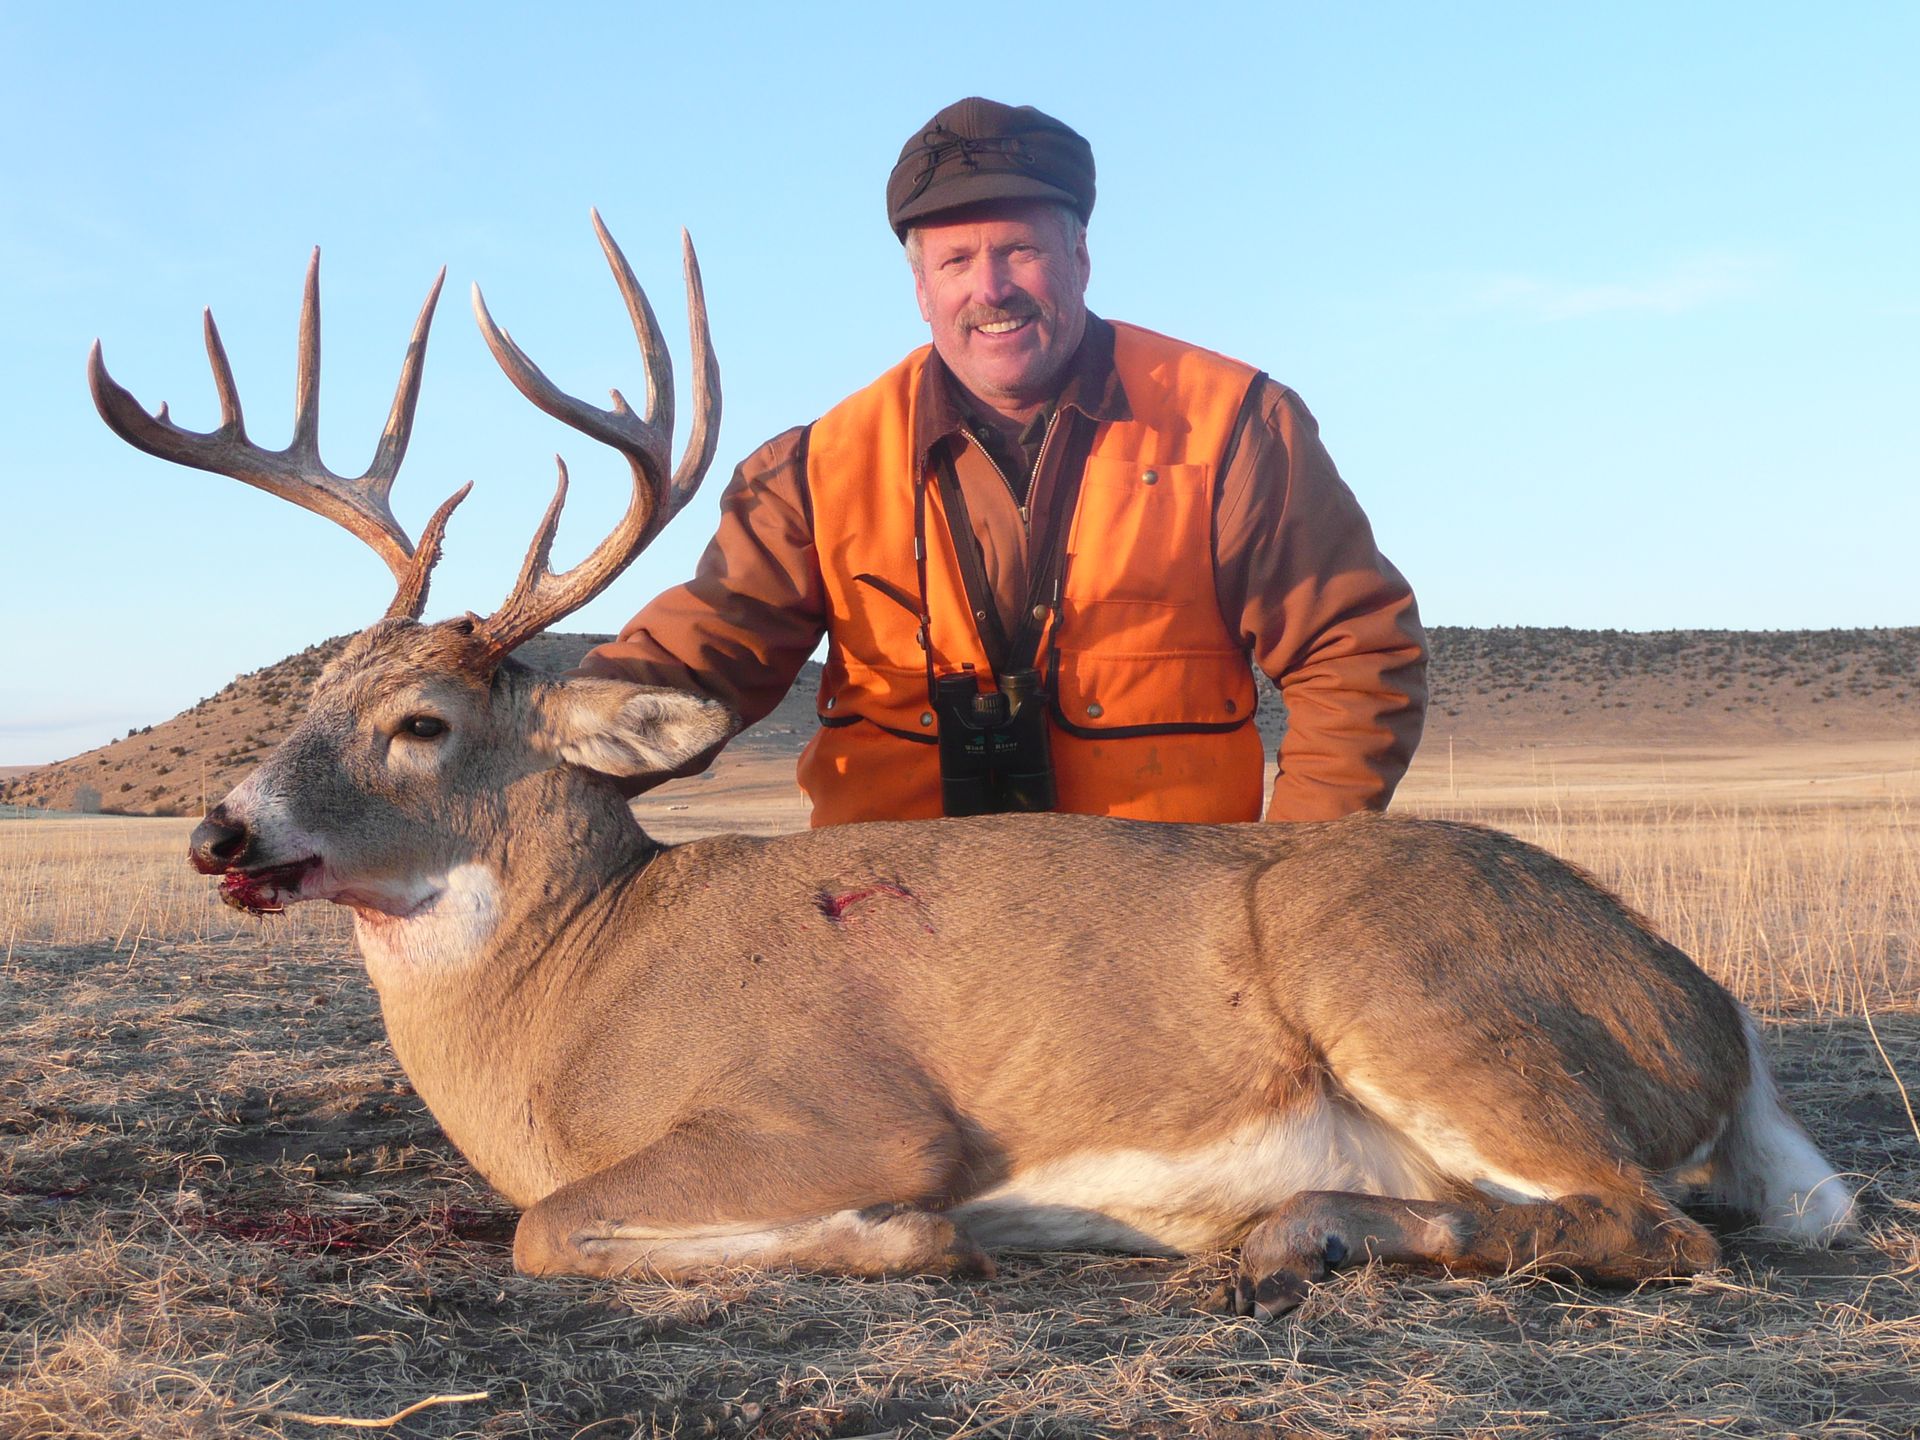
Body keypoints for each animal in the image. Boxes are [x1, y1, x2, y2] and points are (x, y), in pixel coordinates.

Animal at [88, 214, 1856, 1320]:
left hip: (1422, 997)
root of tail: (1715, 1015)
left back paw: (1293, 1239)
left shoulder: (840, 1112)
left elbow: (552, 1227)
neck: (567, 1004)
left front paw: (911, 1243)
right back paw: (1286, 1240)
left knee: (1647, 1224)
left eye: (421, 723)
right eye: (309, 688)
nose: (220, 832)